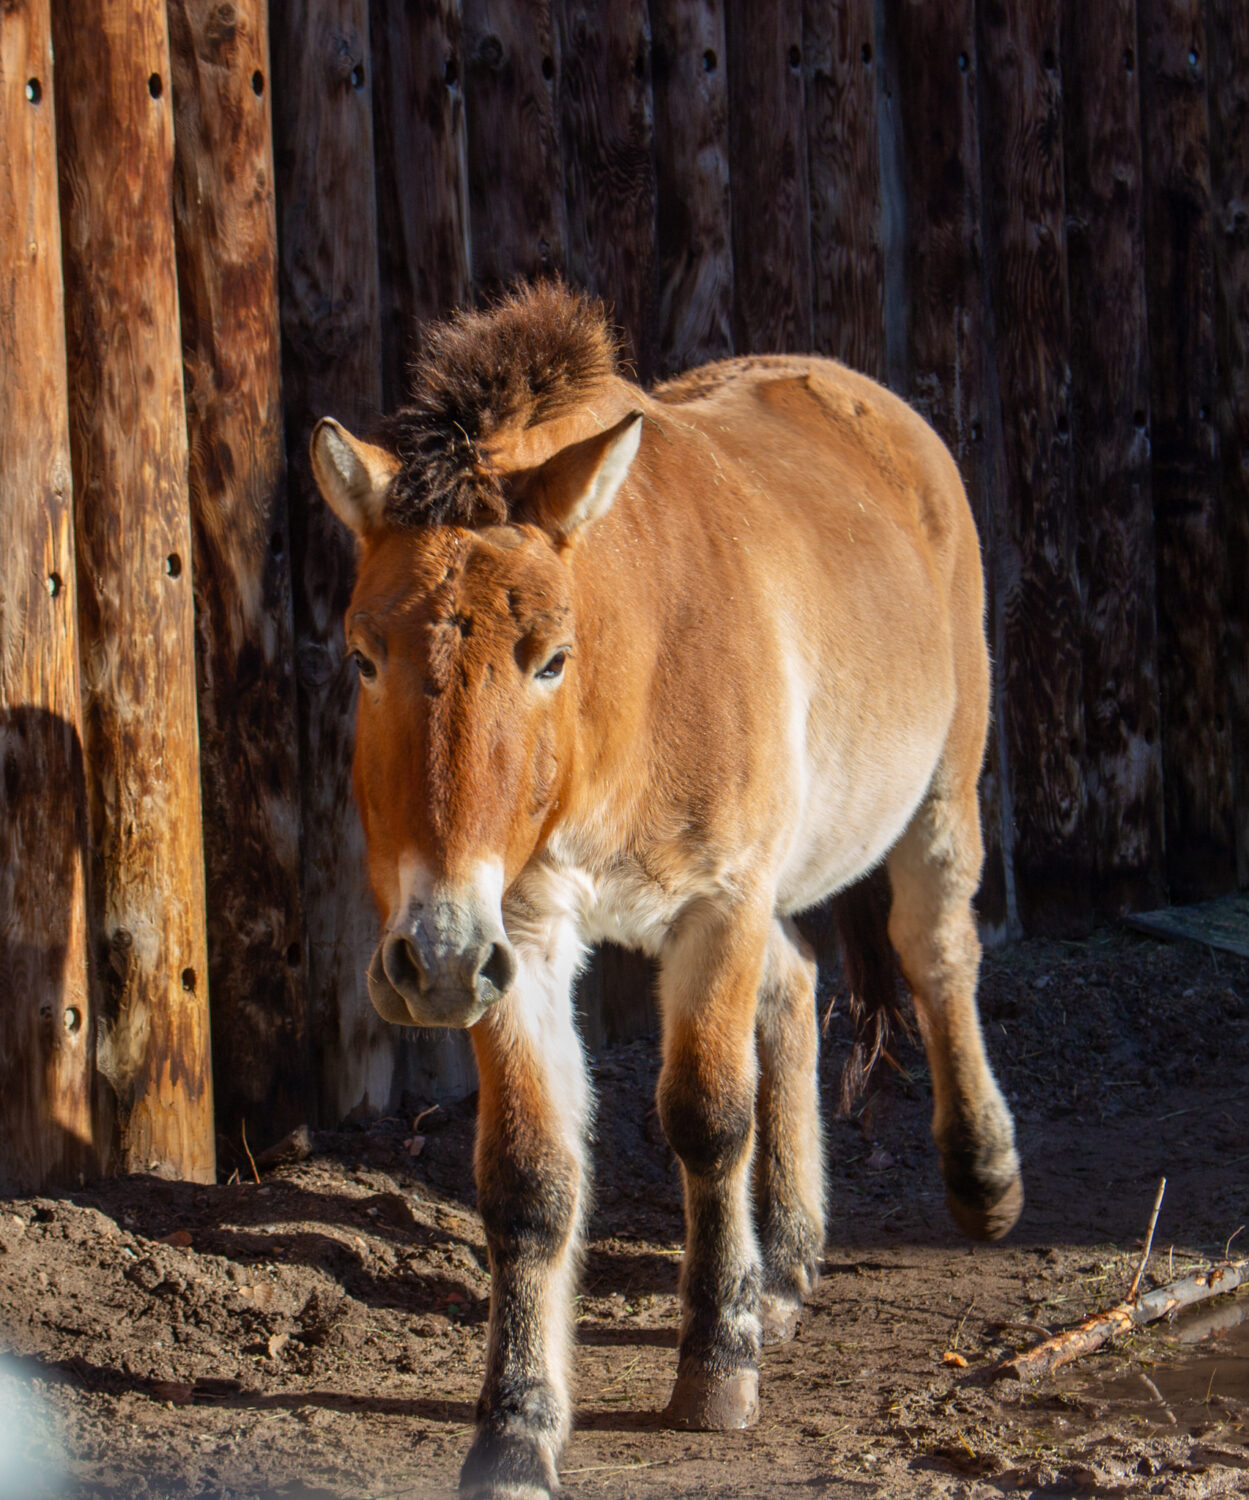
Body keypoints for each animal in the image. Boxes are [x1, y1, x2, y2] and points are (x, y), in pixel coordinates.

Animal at [309, 282, 1022, 1500]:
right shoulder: (516, 933)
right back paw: (782, 1264)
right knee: (795, 988)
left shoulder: (714, 905)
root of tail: (871, 405)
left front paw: (713, 1365)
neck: (624, 698)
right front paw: (516, 1427)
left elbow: (705, 1117)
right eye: (363, 658)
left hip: (939, 792)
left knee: (935, 954)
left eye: (549, 658)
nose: (431, 962)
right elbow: (531, 1179)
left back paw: (980, 1179)